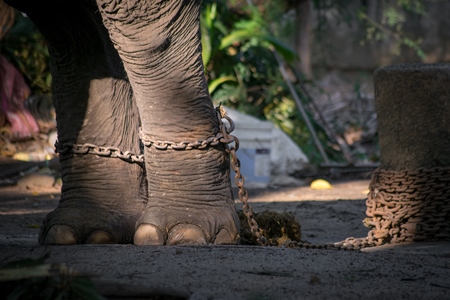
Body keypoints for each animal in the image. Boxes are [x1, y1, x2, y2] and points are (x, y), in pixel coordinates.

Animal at [6, 0, 239, 246]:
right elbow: (78, 34)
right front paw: (77, 232)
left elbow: (145, 25)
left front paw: (187, 232)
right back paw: (88, 234)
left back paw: (187, 232)